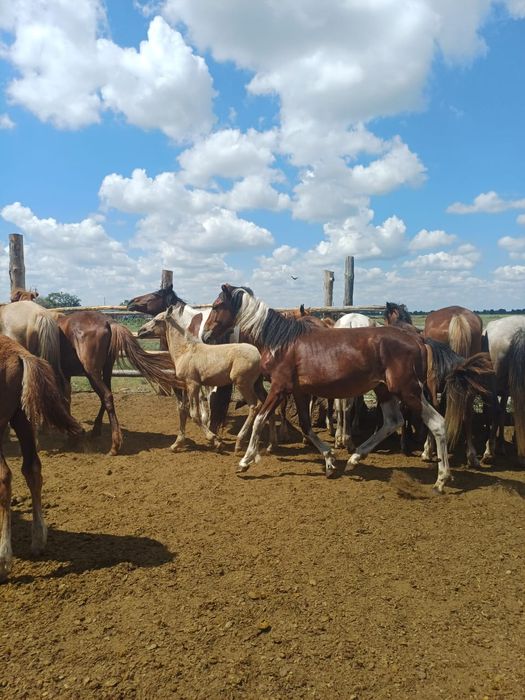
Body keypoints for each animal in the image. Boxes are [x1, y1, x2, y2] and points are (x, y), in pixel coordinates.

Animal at [0, 335, 83, 582]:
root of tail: (18, 353)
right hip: (23, 418)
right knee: (33, 469)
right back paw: (38, 540)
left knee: (4, 478)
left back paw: (3, 560)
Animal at [58, 311, 182, 455]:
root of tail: (108, 322)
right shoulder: (66, 374)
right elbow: (66, 399)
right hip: (105, 369)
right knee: (106, 396)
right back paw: (96, 431)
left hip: (92, 372)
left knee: (107, 396)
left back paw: (114, 446)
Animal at [164, 304, 265, 453]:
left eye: (157, 319)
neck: (185, 350)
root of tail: (258, 354)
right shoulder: (186, 385)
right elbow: (183, 410)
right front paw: (177, 443)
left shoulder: (193, 384)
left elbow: (195, 415)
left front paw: (215, 440)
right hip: (256, 384)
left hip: (243, 384)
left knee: (254, 405)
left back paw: (240, 442)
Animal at [202, 285, 492, 492]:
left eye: (217, 305)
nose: (205, 335)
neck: (281, 342)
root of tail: (419, 340)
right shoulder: (299, 391)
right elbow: (306, 426)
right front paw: (330, 460)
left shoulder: (279, 387)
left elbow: (261, 417)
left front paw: (245, 461)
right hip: (385, 390)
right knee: (393, 421)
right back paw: (355, 459)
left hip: (408, 390)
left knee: (437, 423)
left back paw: (441, 478)